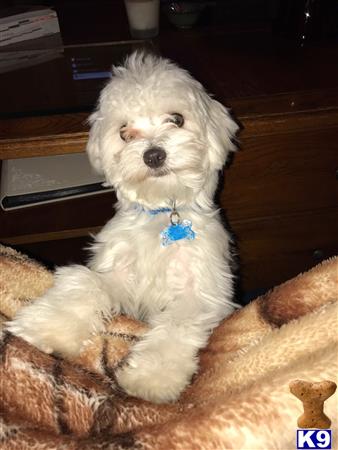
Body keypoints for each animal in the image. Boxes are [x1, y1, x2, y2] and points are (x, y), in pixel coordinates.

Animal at [8, 52, 240, 404]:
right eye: (124, 132)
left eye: (177, 119)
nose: (153, 155)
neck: (162, 215)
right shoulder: (113, 271)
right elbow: (86, 285)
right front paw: (47, 327)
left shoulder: (201, 291)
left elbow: (176, 325)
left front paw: (152, 376)